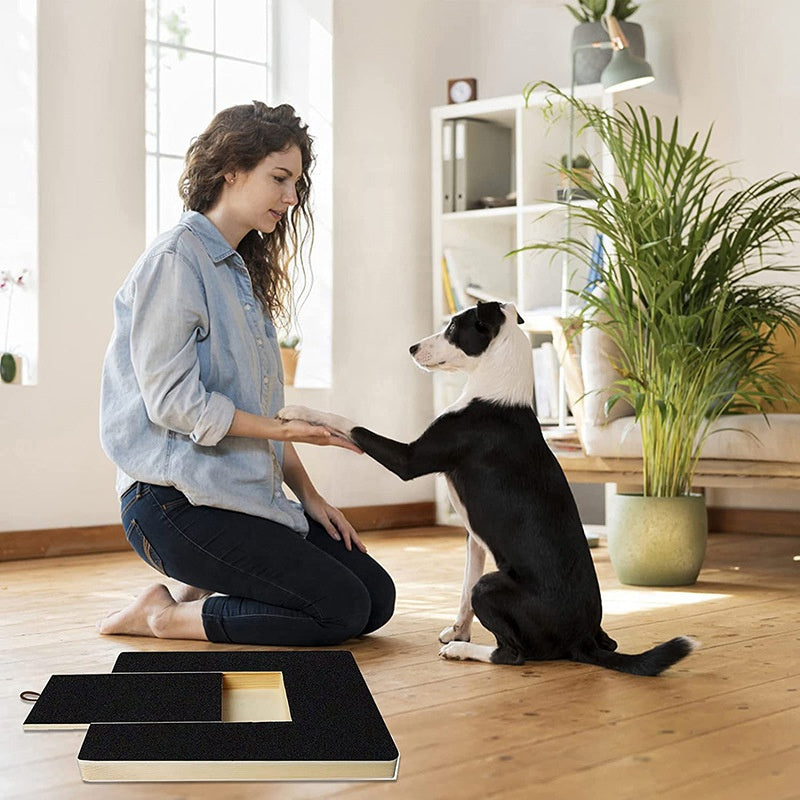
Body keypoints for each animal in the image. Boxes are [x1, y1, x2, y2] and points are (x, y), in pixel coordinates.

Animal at [278, 300, 696, 676]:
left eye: (451, 328)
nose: (412, 348)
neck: (495, 389)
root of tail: (582, 639)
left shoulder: (409, 460)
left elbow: (349, 424)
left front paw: (297, 411)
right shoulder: (473, 537)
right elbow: (463, 589)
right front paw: (457, 631)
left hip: (492, 587)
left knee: (513, 654)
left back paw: (464, 652)